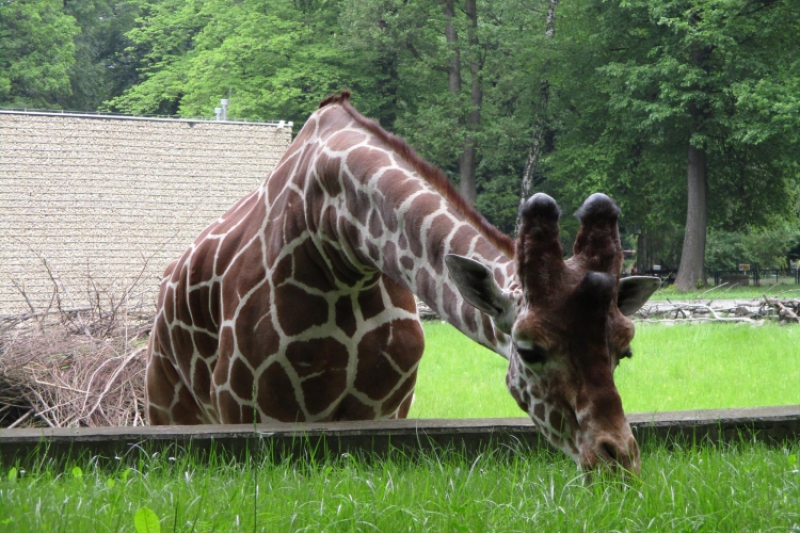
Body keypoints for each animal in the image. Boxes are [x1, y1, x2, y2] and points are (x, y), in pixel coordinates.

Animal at [147, 91, 660, 474]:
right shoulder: (251, 409)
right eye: (529, 349)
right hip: (170, 405)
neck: (340, 245)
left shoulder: (384, 408)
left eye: (625, 348)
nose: (617, 459)